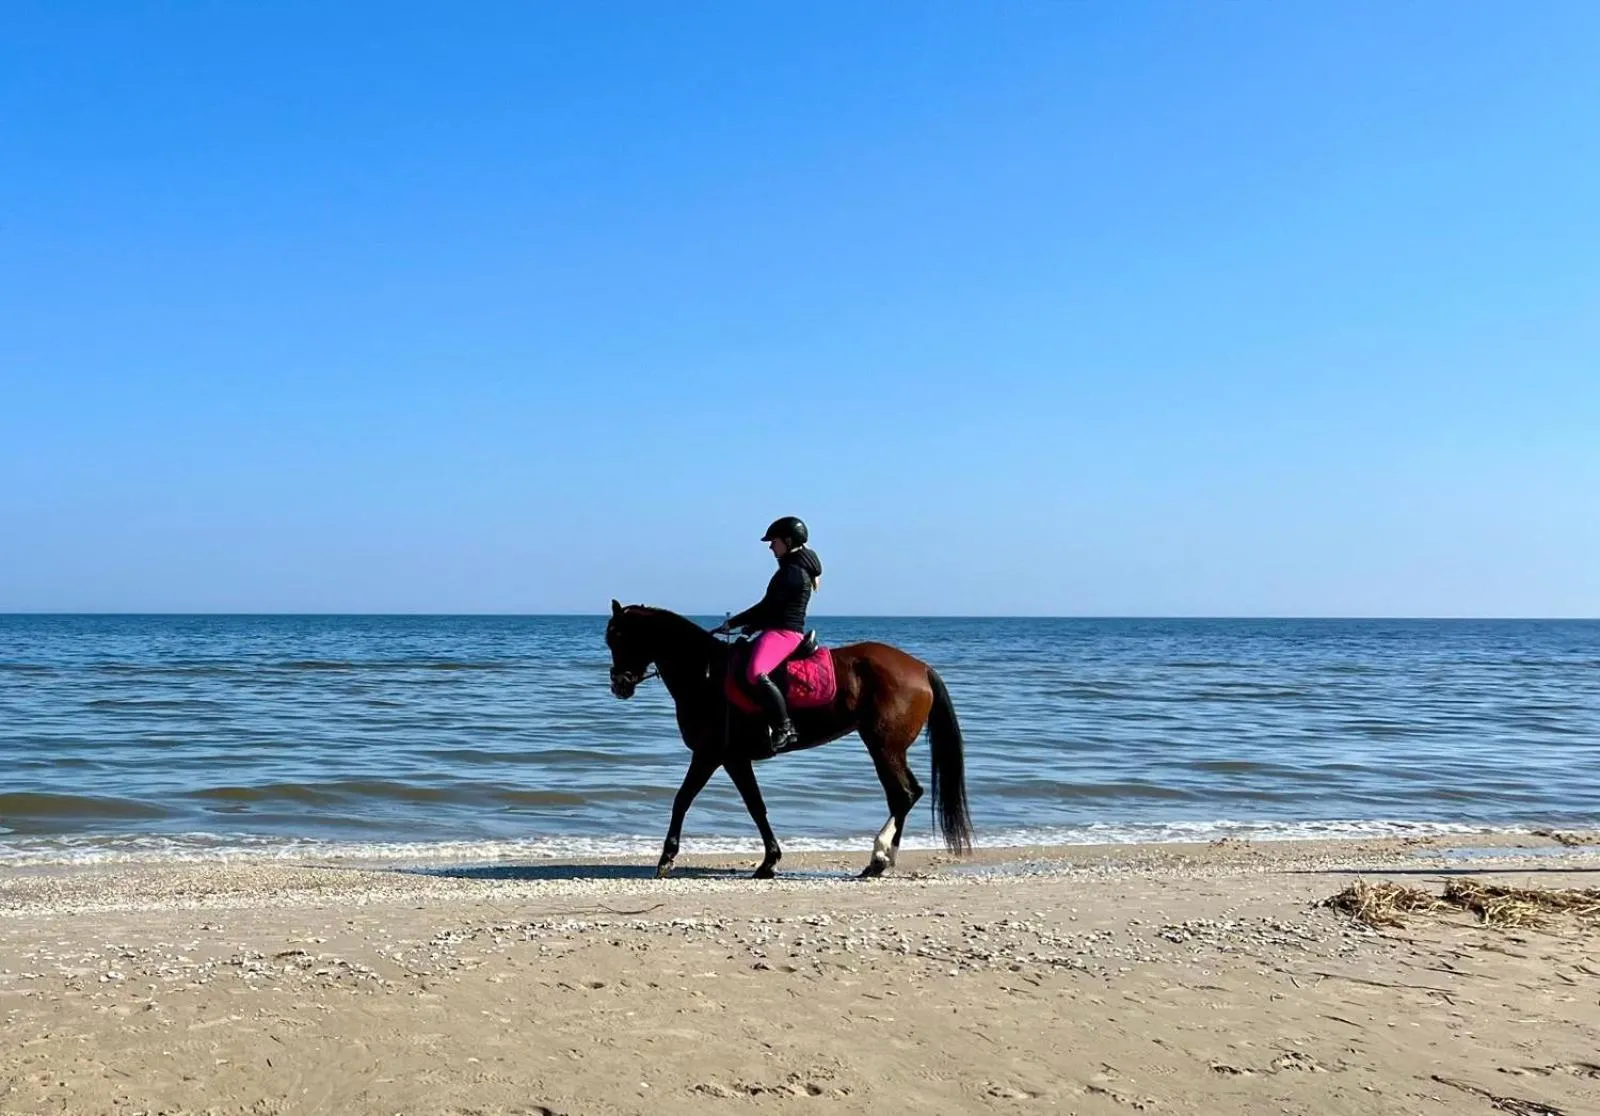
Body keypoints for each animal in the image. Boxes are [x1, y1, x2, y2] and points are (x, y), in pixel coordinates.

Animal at [604, 601, 973, 879]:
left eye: (620, 637)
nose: (619, 685)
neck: (706, 675)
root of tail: (921, 667)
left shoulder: (712, 755)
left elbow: (683, 800)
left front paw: (666, 859)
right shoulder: (733, 758)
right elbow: (755, 806)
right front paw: (769, 861)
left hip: (883, 747)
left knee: (902, 794)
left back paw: (878, 859)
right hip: (890, 748)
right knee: (907, 794)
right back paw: (883, 859)